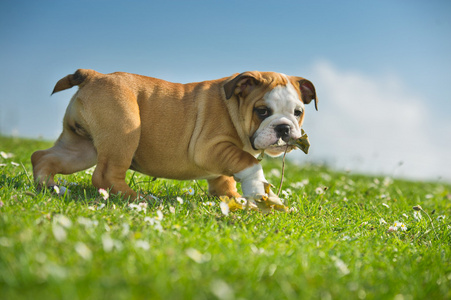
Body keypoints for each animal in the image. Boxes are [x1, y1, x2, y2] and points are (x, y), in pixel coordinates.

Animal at [31, 69, 318, 202]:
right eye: (262, 111)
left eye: (298, 112)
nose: (284, 128)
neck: (234, 107)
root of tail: (94, 76)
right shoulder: (209, 147)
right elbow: (249, 163)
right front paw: (257, 190)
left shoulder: (221, 161)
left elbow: (225, 179)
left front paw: (234, 198)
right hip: (123, 131)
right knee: (105, 176)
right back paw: (141, 199)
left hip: (81, 147)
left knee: (43, 156)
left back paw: (50, 186)